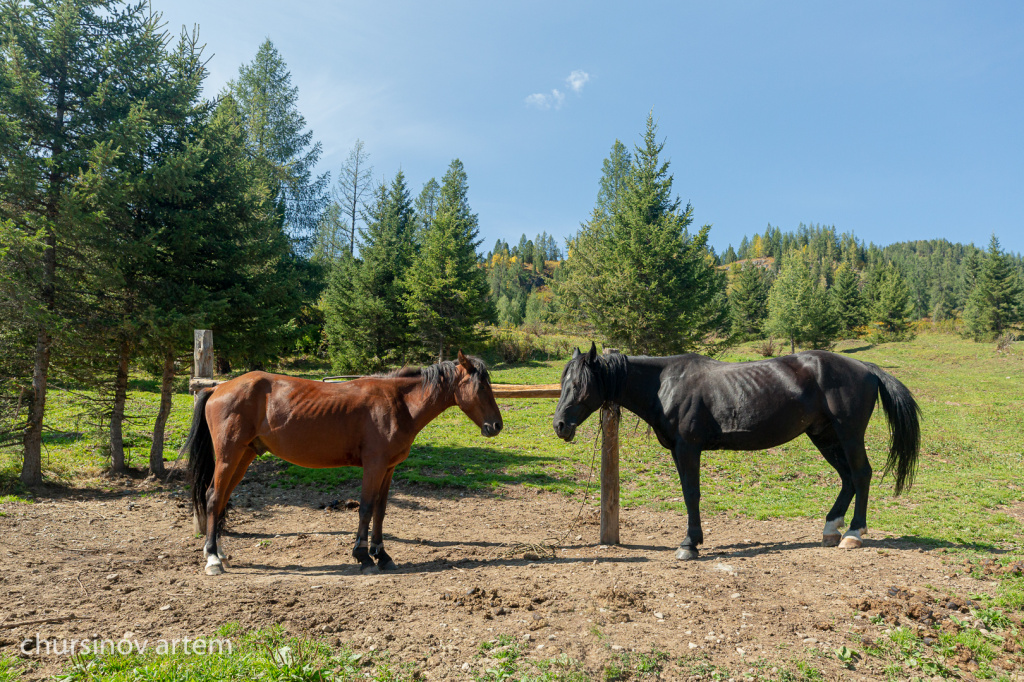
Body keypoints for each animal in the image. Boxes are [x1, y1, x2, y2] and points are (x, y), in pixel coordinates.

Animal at [186, 350, 505, 573]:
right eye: (480, 387)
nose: (496, 426)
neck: (398, 403)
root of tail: (218, 388)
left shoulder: (388, 469)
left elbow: (380, 511)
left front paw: (382, 554)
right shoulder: (374, 467)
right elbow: (365, 509)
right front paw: (363, 556)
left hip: (245, 456)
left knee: (222, 497)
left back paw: (218, 551)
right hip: (229, 456)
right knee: (213, 497)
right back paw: (213, 558)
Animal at [557, 346, 925, 557]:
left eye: (580, 385)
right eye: (563, 383)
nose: (560, 425)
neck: (665, 386)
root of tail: (865, 366)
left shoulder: (688, 448)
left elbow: (691, 493)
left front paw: (689, 544)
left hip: (848, 434)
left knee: (861, 475)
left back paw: (853, 534)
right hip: (824, 435)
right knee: (847, 478)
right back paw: (831, 529)